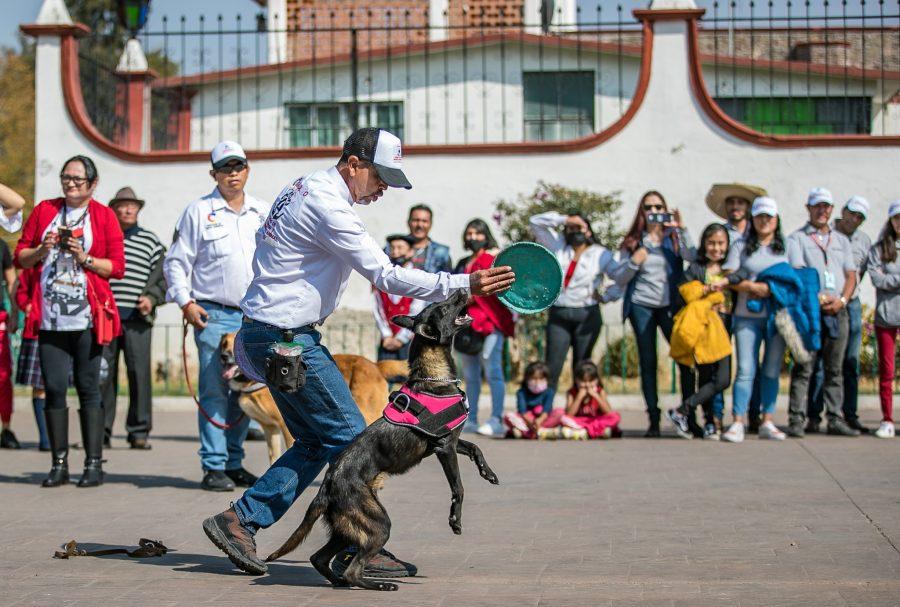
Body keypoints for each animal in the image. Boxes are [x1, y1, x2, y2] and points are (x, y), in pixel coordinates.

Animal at [220, 332, 410, 466]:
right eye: (223, 344)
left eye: (232, 346)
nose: (224, 356)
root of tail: (376, 365)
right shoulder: (269, 428)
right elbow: (273, 457)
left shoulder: (284, 427)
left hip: (368, 411)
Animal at [264, 292, 502, 592]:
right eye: (444, 307)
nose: (462, 290)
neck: (433, 375)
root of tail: (327, 486)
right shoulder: (445, 448)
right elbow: (458, 487)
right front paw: (455, 520)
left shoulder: (449, 440)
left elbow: (475, 448)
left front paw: (488, 473)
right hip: (377, 524)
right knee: (353, 568)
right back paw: (377, 584)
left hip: (347, 529)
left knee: (319, 558)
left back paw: (339, 581)